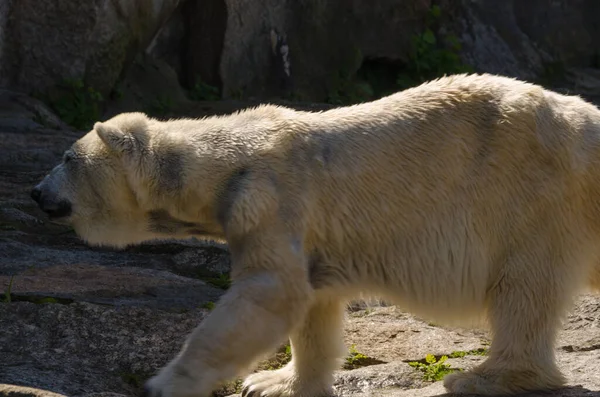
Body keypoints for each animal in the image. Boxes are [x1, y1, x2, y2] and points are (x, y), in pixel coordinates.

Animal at [31, 72, 600, 394]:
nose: (36, 192)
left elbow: (270, 294)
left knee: (523, 287)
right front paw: (276, 382)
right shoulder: (308, 232)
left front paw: (169, 383)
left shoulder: (269, 200)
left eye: (67, 158)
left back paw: (483, 377)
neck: (224, 164)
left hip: (529, 196)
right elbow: (312, 305)